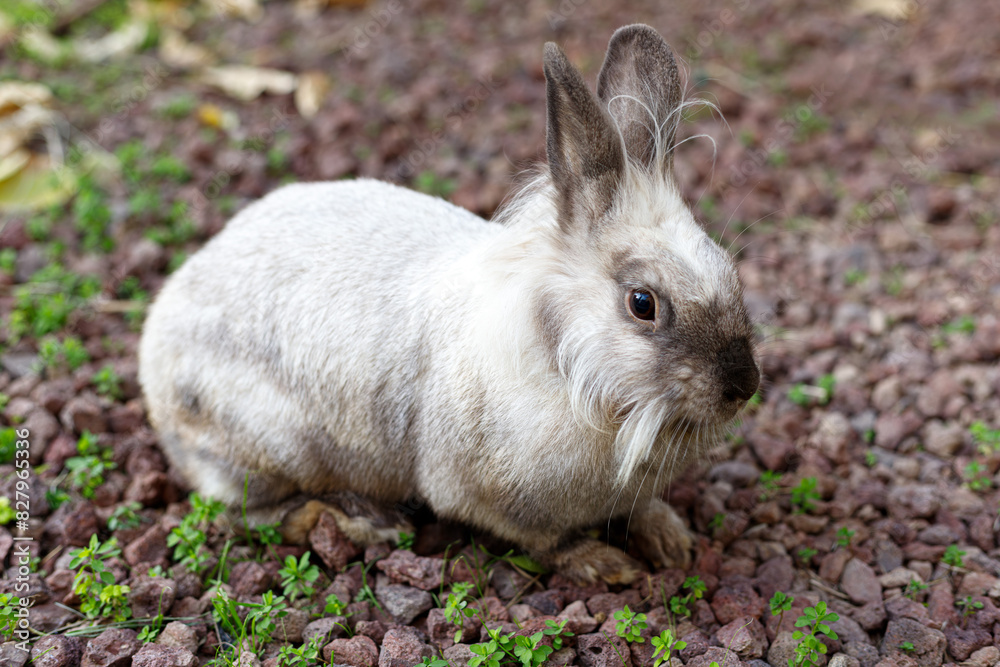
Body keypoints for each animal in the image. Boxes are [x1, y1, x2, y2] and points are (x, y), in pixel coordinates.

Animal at [138, 23, 760, 584]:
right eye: (642, 303)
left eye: (729, 268)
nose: (743, 384)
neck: (568, 365)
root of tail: (155, 348)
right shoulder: (490, 499)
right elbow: (549, 542)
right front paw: (607, 566)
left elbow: (641, 508)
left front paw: (671, 540)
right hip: (277, 446)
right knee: (253, 511)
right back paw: (362, 522)